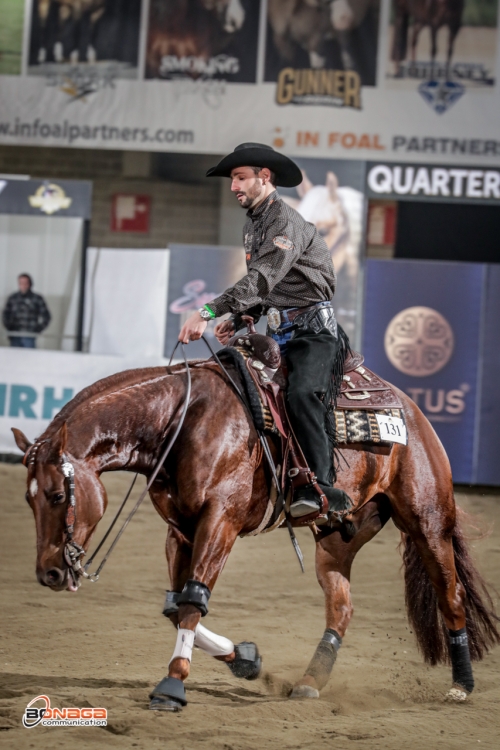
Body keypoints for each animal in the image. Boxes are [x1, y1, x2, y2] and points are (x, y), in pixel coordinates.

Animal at [12, 358, 500, 712]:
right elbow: (176, 605)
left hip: (428, 522)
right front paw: (247, 659)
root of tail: (412, 412)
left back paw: (461, 684)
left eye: (56, 494)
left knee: (451, 596)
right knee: (341, 607)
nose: (49, 573)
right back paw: (309, 681)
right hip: (337, 538)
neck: (183, 420)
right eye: (28, 499)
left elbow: (191, 602)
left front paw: (172, 685)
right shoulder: (181, 531)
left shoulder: (219, 523)